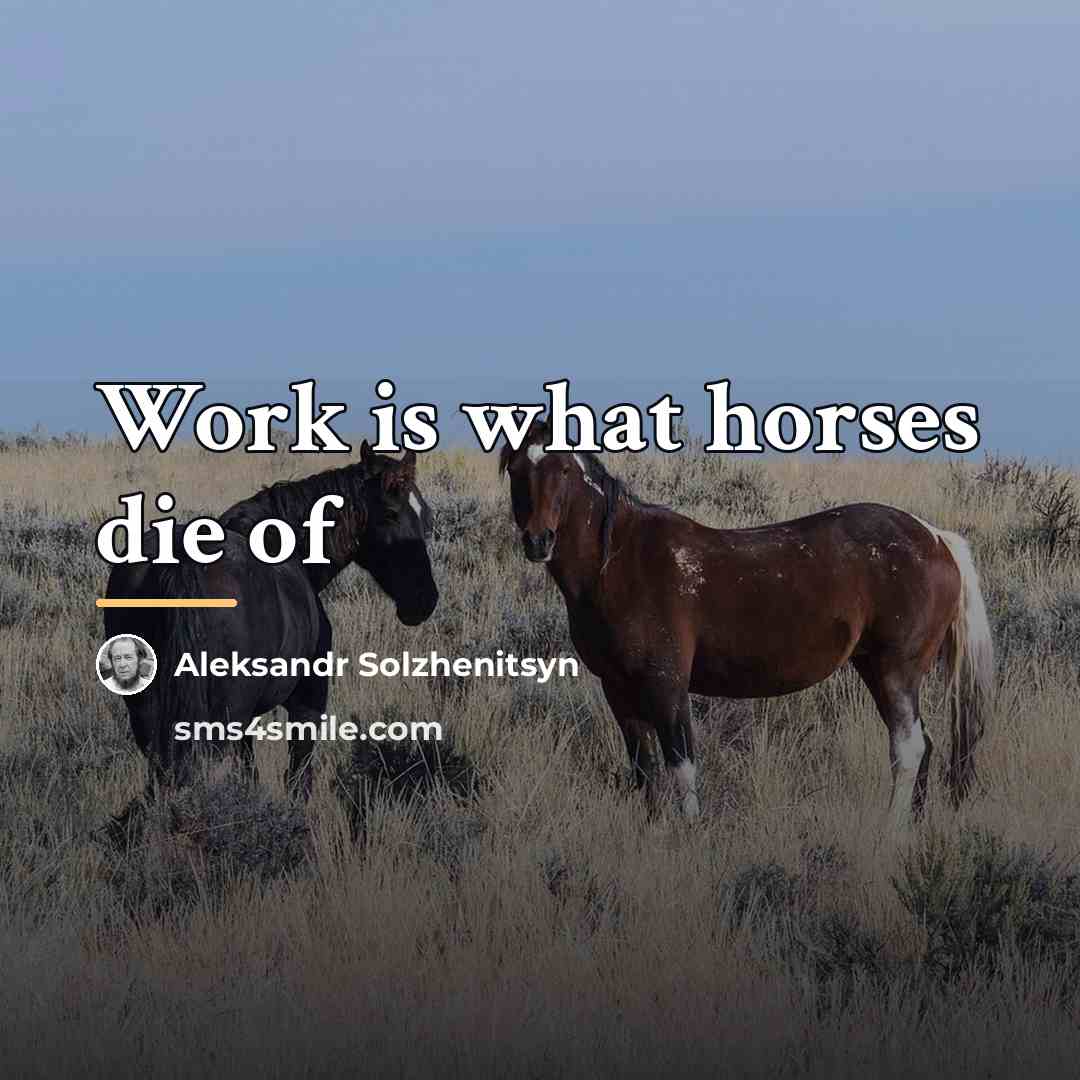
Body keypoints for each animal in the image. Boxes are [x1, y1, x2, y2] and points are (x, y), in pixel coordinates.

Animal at [104, 442, 438, 801]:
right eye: (390, 513)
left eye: (426, 516)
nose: (424, 601)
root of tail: (182, 558)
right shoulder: (307, 702)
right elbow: (298, 778)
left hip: (148, 714)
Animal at [499, 420, 994, 829]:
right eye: (515, 468)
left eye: (564, 468)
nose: (538, 540)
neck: (620, 562)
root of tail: (935, 538)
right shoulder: (618, 690)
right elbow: (645, 772)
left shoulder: (666, 684)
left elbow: (682, 767)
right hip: (875, 667)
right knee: (924, 746)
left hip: (896, 670)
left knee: (907, 749)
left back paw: (888, 835)